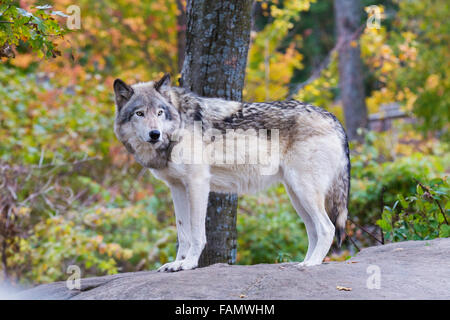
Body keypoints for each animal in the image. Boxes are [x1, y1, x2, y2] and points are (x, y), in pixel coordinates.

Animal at [113, 74, 352, 272]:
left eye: (159, 112)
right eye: (140, 113)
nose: (155, 134)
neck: (178, 123)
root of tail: (335, 119)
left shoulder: (198, 183)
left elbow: (196, 233)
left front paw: (189, 264)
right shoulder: (177, 187)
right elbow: (183, 232)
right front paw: (177, 263)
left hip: (304, 191)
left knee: (327, 228)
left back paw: (312, 264)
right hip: (296, 195)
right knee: (313, 230)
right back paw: (303, 262)